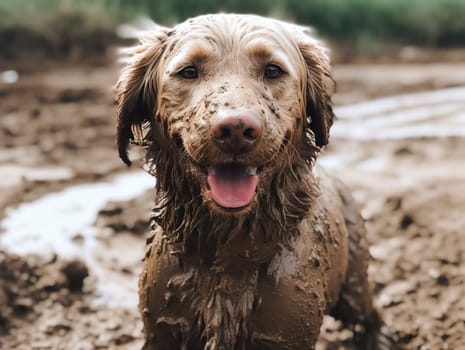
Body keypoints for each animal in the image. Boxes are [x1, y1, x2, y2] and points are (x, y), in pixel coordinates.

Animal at [114, 13, 396, 350]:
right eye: (189, 71)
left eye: (273, 70)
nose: (235, 128)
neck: (229, 254)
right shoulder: (161, 329)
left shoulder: (285, 335)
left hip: (353, 283)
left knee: (368, 310)